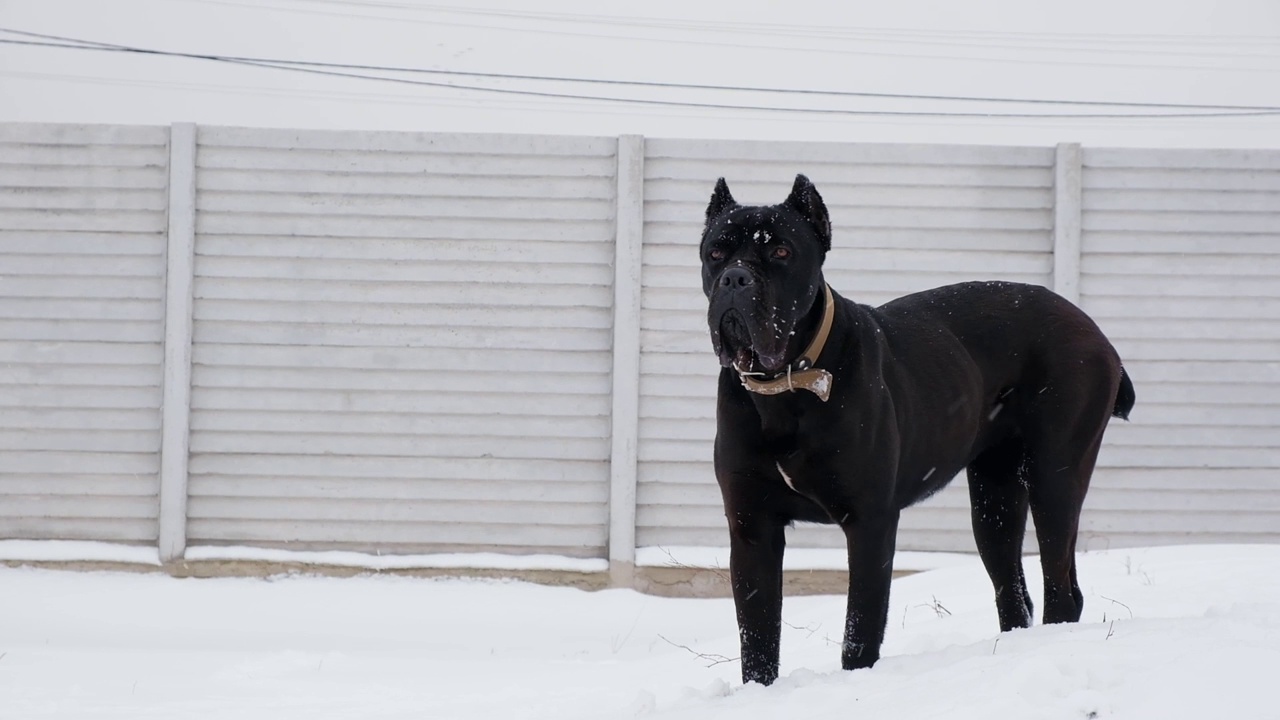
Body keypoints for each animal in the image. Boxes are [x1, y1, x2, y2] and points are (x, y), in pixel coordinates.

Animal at [706, 174, 1136, 681]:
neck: (787, 386)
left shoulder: (870, 521)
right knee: (1012, 589)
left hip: (1056, 476)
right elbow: (756, 634)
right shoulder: (752, 526)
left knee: (1061, 588)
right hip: (994, 498)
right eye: (715, 252)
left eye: (780, 252)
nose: (735, 278)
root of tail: (1094, 330)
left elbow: (861, 623)